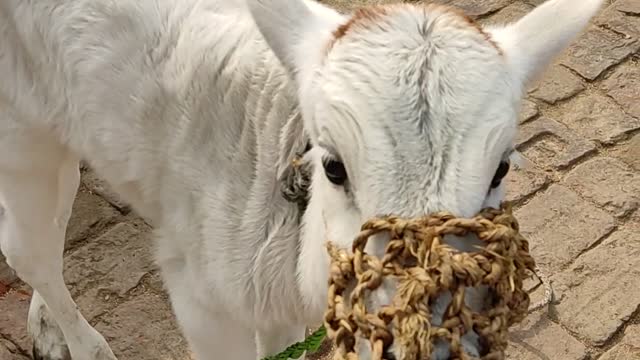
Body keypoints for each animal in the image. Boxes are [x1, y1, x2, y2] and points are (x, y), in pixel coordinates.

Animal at [0, 0, 604, 358]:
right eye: (332, 166)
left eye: (501, 167)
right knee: (28, 250)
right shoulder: (202, 296)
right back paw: (83, 343)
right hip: (23, 134)